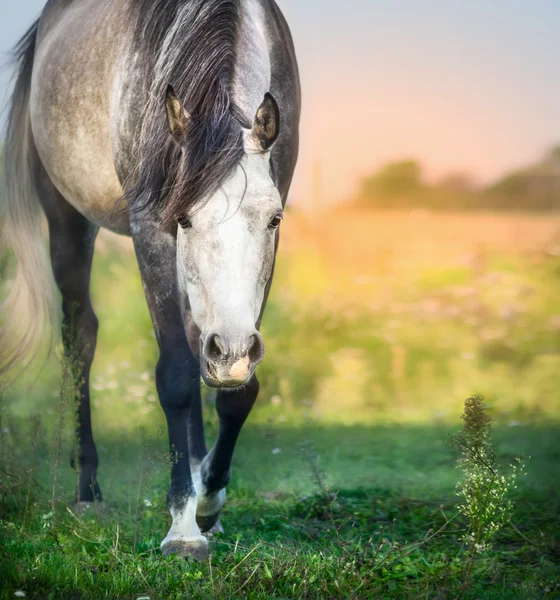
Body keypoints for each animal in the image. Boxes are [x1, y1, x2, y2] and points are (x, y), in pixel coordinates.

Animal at [0, 1, 300, 564]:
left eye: (273, 220)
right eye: (182, 219)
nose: (232, 349)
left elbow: (237, 390)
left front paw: (208, 500)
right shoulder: (151, 228)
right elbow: (177, 377)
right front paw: (183, 527)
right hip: (67, 221)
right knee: (81, 337)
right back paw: (88, 490)